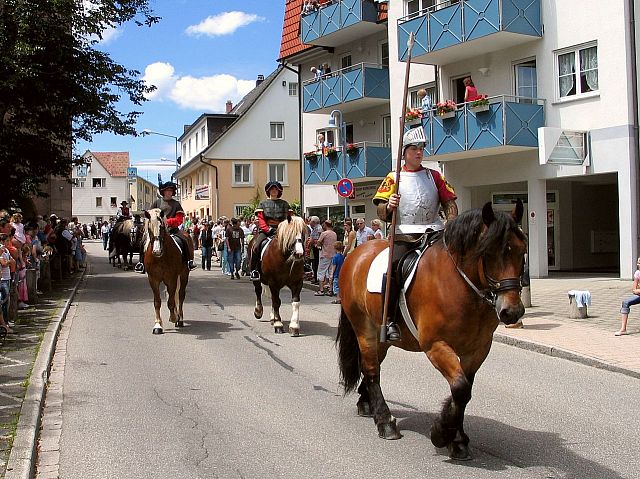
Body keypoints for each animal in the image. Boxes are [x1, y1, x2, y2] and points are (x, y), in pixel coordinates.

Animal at [142, 208, 189, 336]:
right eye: (149, 228)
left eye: (162, 227)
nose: (157, 251)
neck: (160, 258)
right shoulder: (153, 279)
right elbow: (157, 302)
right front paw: (158, 325)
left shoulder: (171, 279)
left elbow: (171, 301)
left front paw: (174, 317)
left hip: (184, 275)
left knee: (180, 295)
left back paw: (180, 318)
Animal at [336, 202, 524, 462]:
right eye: (488, 253)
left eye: (522, 251)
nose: (511, 312)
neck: (461, 285)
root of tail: (354, 255)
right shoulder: (436, 345)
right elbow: (460, 388)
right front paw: (441, 433)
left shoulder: (477, 350)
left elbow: (463, 392)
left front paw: (457, 439)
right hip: (364, 328)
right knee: (372, 369)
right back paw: (385, 422)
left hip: (380, 335)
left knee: (371, 366)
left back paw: (367, 404)